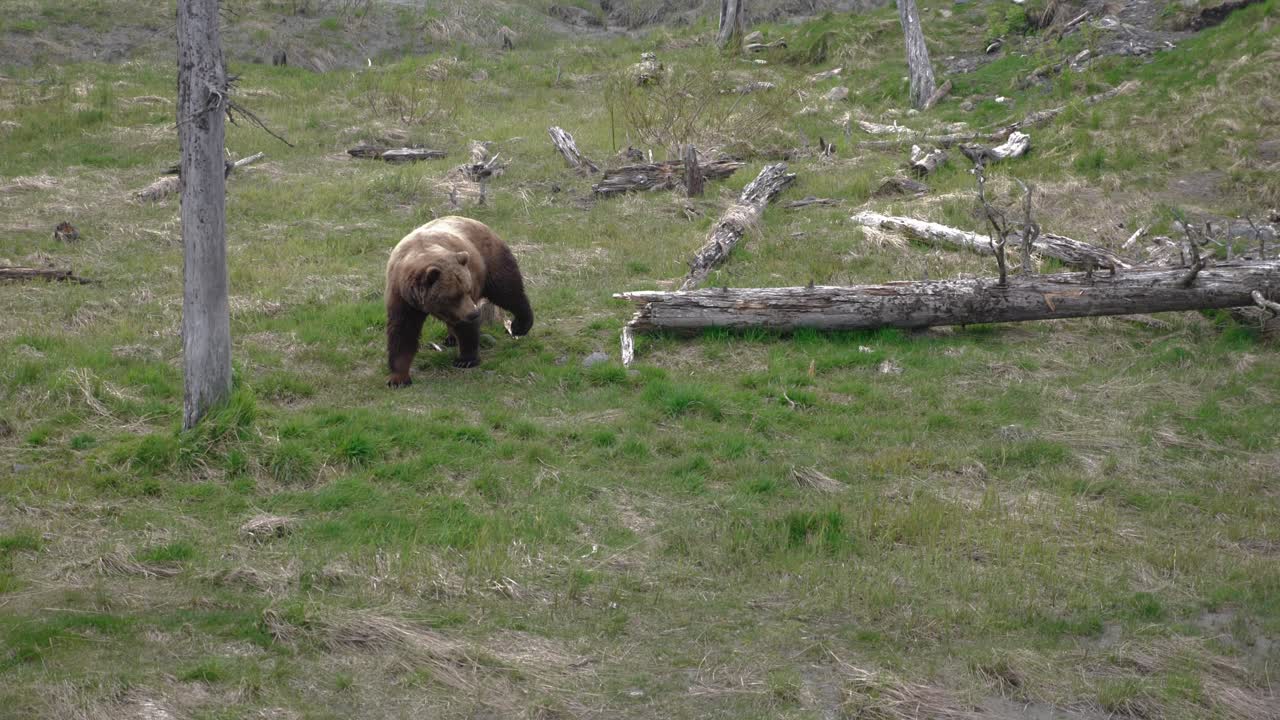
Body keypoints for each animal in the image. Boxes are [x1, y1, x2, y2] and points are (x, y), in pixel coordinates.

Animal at [384, 216, 533, 387]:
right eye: (454, 296)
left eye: (467, 289)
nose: (474, 313)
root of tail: (475, 220)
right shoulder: (402, 297)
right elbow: (402, 332)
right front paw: (398, 378)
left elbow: (466, 328)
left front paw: (466, 359)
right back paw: (451, 338)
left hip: (490, 260)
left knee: (508, 290)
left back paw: (520, 326)